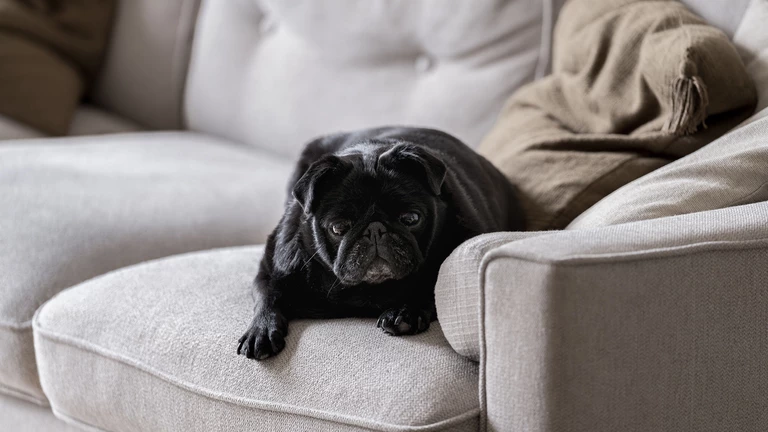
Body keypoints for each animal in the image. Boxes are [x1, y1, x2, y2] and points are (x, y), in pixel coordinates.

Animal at [237, 126, 524, 360]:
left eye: (411, 218)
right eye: (339, 228)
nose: (375, 230)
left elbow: (432, 283)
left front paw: (406, 312)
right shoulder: (272, 270)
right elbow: (267, 295)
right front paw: (261, 331)